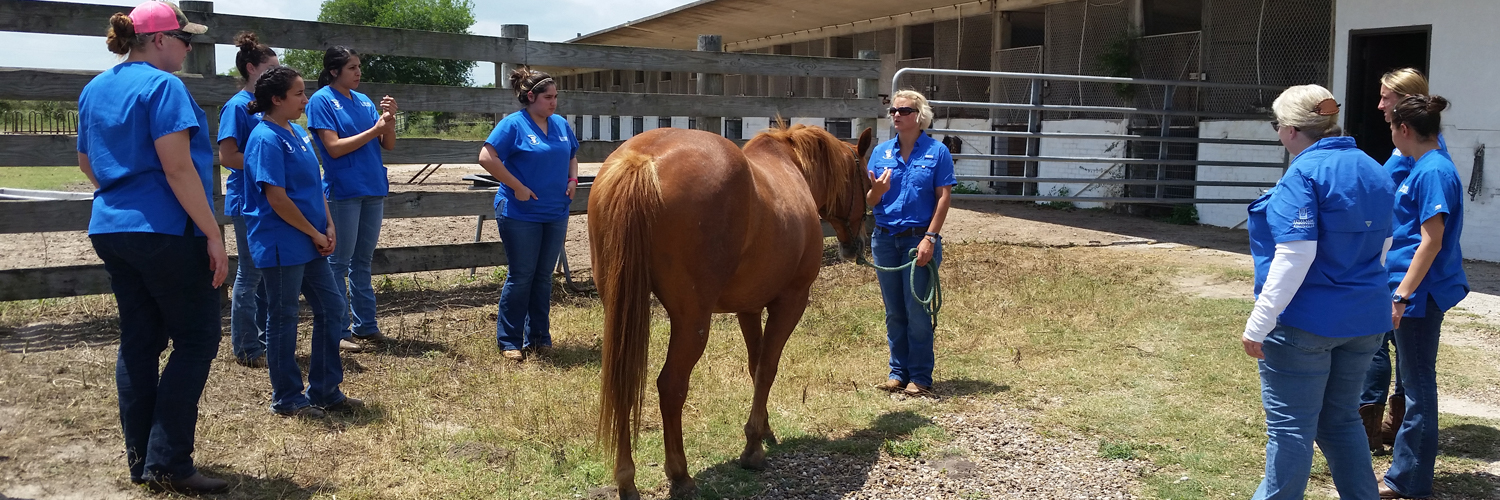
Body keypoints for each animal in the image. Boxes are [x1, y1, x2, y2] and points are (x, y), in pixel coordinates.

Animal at [588, 123, 874, 499]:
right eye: (867, 183)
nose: (857, 245)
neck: (791, 169)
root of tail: (642, 161)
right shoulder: (791, 301)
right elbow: (767, 368)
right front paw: (753, 449)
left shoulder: (748, 309)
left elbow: (755, 366)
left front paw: (764, 429)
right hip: (692, 321)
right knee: (671, 387)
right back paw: (680, 475)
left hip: (621, 315)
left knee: (622, 385)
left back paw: (626, 480)